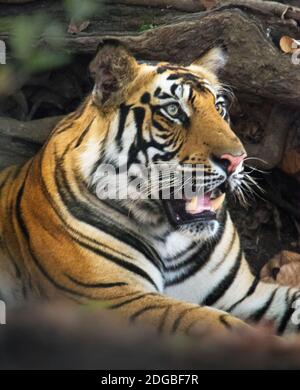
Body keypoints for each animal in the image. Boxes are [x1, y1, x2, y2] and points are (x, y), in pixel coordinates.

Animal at [0, 39, 298, 336]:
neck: (170, 236)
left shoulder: (243, 294)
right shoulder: (110, 297)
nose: (236, 160)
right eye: (174, 111)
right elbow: (213, 323)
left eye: (220, 108)